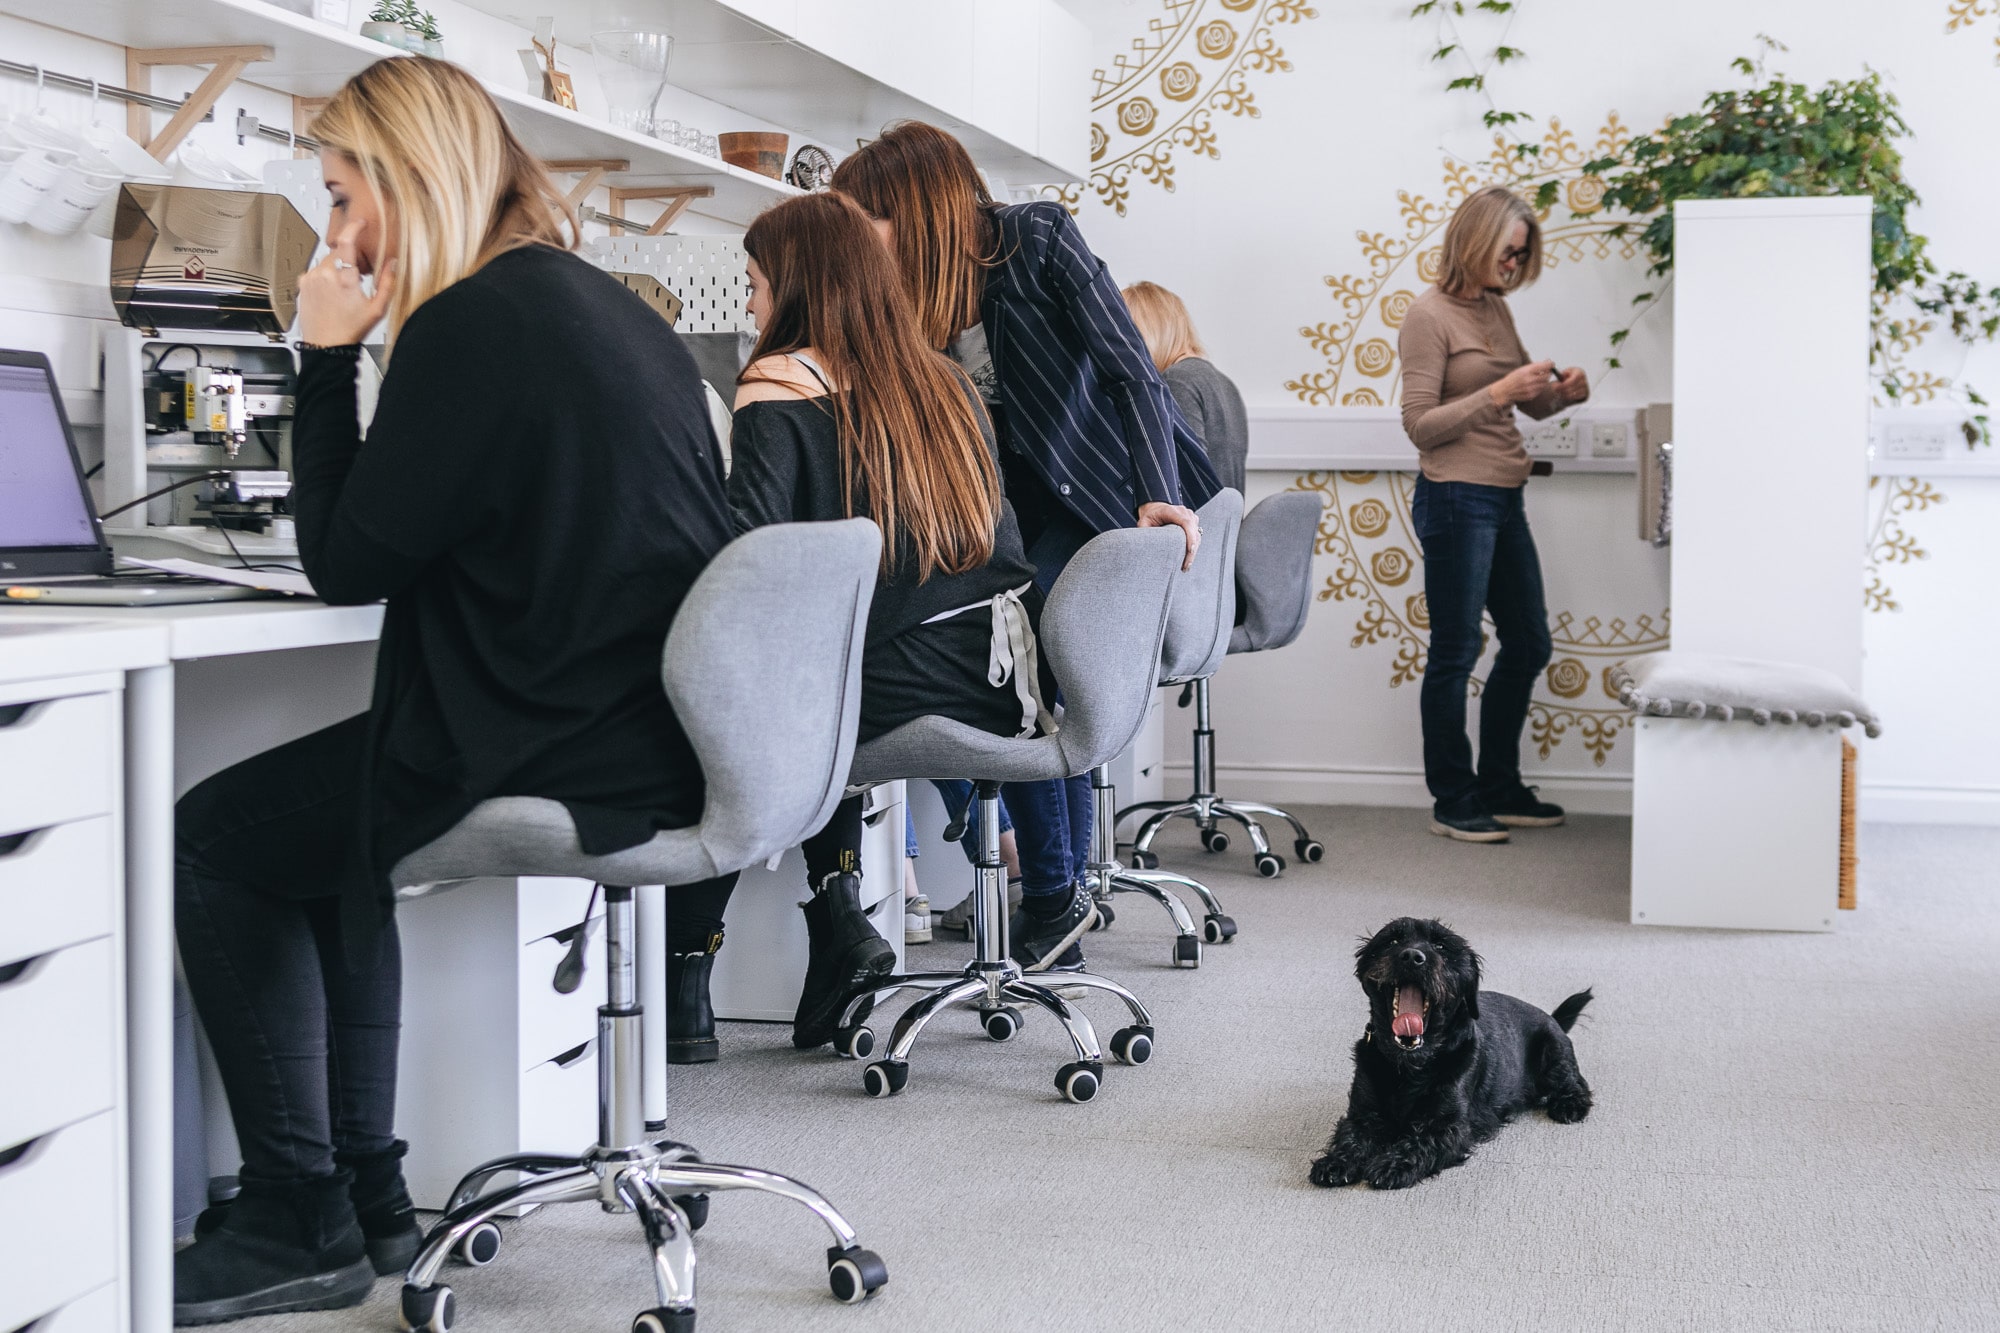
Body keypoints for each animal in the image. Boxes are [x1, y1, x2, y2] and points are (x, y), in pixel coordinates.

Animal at [1312, 912, 1592, 1184]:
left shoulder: (1447, 1125)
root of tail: (1554, 1019)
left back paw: (1570, 1105)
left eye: (1441, 946)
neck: (1410, 1067)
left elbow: (1419, 1142)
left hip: (1553, 1055)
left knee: (1576, 1083)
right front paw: (1335, 1162)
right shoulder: (1363, 1113)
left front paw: (1392, 1164)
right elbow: (1352, 1136)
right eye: (1392, 941)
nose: (1412, 956)